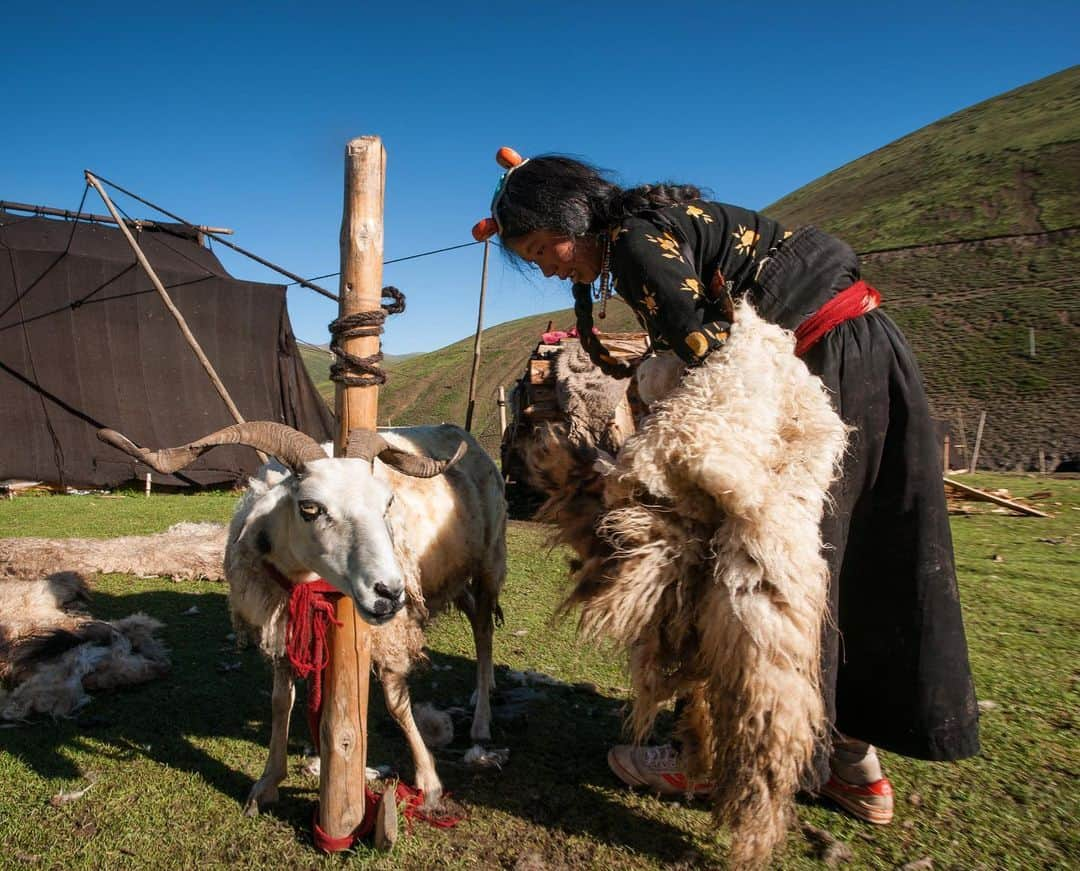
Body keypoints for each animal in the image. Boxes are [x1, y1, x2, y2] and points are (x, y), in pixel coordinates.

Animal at [99, 423, 507, 812]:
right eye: (310, 508)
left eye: (387, 503)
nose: (390, 592)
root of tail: (462, 435)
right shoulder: (282, 622)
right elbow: (282, 701)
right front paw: (267, 783)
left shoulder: (387, 630)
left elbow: (396, 702)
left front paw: (429, 781)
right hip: (454, 575)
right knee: (475, 615)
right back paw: (482, 689)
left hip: (490, 559)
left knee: (484, 628)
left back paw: (481, 721)